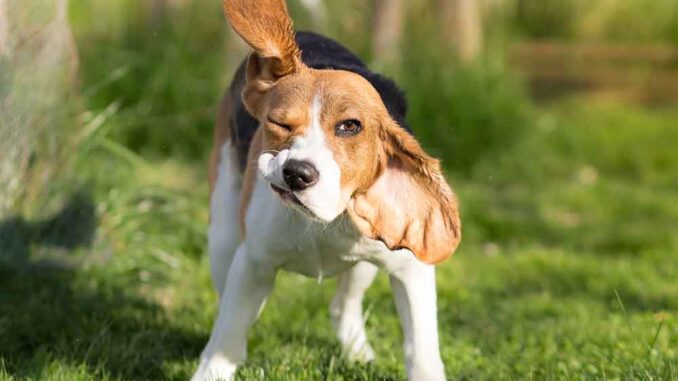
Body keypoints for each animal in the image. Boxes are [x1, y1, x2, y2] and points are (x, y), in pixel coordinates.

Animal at [194, 1, 464, 378]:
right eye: (278, 123)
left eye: (350, 126)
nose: (297, 173)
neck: (324, 217)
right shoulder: (252, 262)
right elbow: (226, 337)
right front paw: (213, 370)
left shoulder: (411, 270)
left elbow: (422, 349)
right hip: (223, 236)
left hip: (366, 259)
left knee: (342, 306)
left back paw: (357, 352)